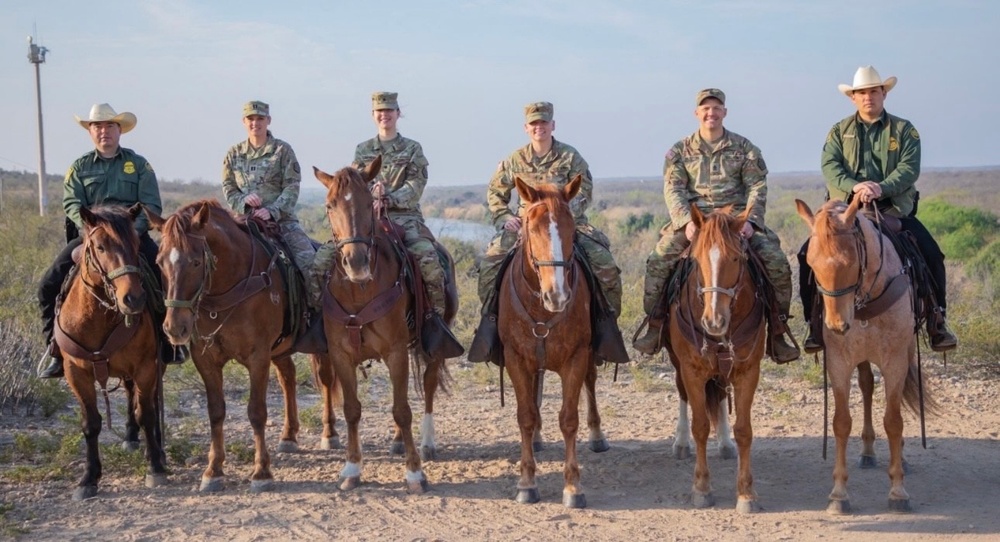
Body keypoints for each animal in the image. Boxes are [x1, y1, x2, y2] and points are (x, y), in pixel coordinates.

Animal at [55, 206, 167, 504]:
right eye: (100, 247)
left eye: (137, 244)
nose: (133, 299)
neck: (98, 318)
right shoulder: (76, 374)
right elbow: (91, 423)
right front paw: (88, 478)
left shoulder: (145, 367)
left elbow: (147, 413)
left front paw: (155, 466)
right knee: (130, 395)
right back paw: (130, 436)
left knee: (148, 403)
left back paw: (155, 448)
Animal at [146, 202, 308, 496]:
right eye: (159, 262)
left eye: (196, 261)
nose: (175, 328)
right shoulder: (206, 360)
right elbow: (216, 412)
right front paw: (213, 470)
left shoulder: (258, 357)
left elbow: (256, 412)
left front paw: (261, 472)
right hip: (281, 349)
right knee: (288, 376)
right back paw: (289, 435)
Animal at [312, 158, 458, 498]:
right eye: (329, 205)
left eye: (369, 202)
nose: (356, 263)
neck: (359, 289)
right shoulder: (340, 355)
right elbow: (352, 409)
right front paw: (351, 469)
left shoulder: (396, 352)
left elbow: (402, 409)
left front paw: (415, 473)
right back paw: (396, 441)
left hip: (431, 348)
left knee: (428, 386)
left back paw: (427, 443)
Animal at [668, 204, 768, 516]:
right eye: (696, 259)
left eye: (735, 258)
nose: (714, 321)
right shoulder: (691, 370)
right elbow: (700, 426)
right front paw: (701, 488)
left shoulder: (748, 370)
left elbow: (744, 430)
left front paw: (747, 493)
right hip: (677, 365)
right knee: (682, 395)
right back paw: (680, 442)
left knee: (722, 394)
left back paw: (724, 443)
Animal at [796, 198, 928, 516]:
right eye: (811, 265)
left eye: (850, 262)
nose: (836, 325)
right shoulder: (839, 363)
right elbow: (841, 422)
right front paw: (838, 495)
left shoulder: (895, 362)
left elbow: (893, 421)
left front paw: (898, 492)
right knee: (867, 385)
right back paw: (867, 451)